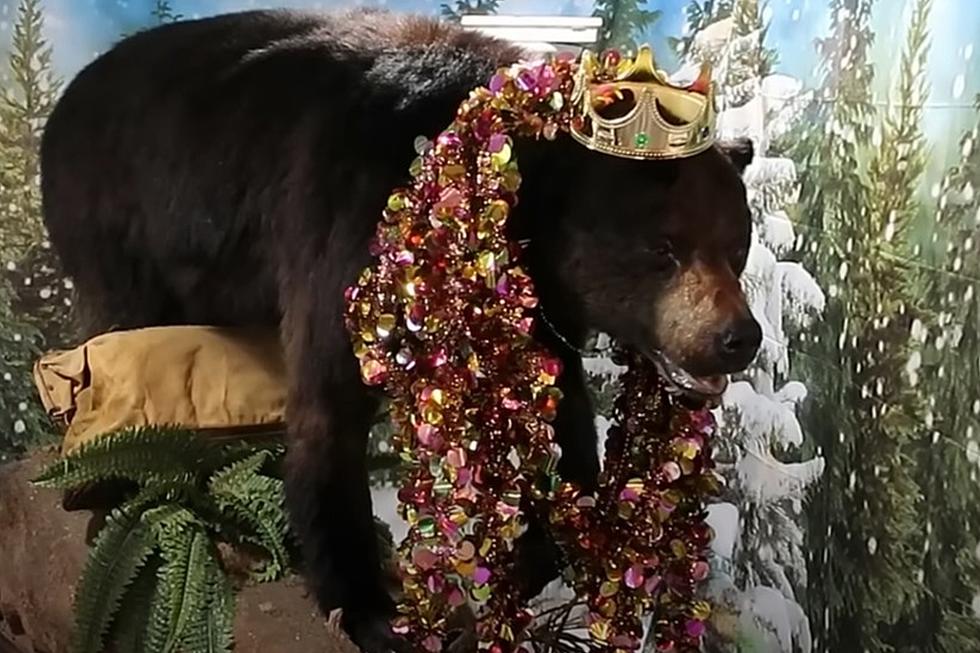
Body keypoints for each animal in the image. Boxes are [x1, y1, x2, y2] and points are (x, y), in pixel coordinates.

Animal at [40, 7, 756, 648]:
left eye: (736, 245)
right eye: (663, 248)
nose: (738, 338)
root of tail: (68, 98)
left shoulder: (532, 302)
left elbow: (561, 413)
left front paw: (531, 559)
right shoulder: (348, 222)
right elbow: (329, 404)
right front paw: (370, 607)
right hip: (118, 226)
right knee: (117, 336)